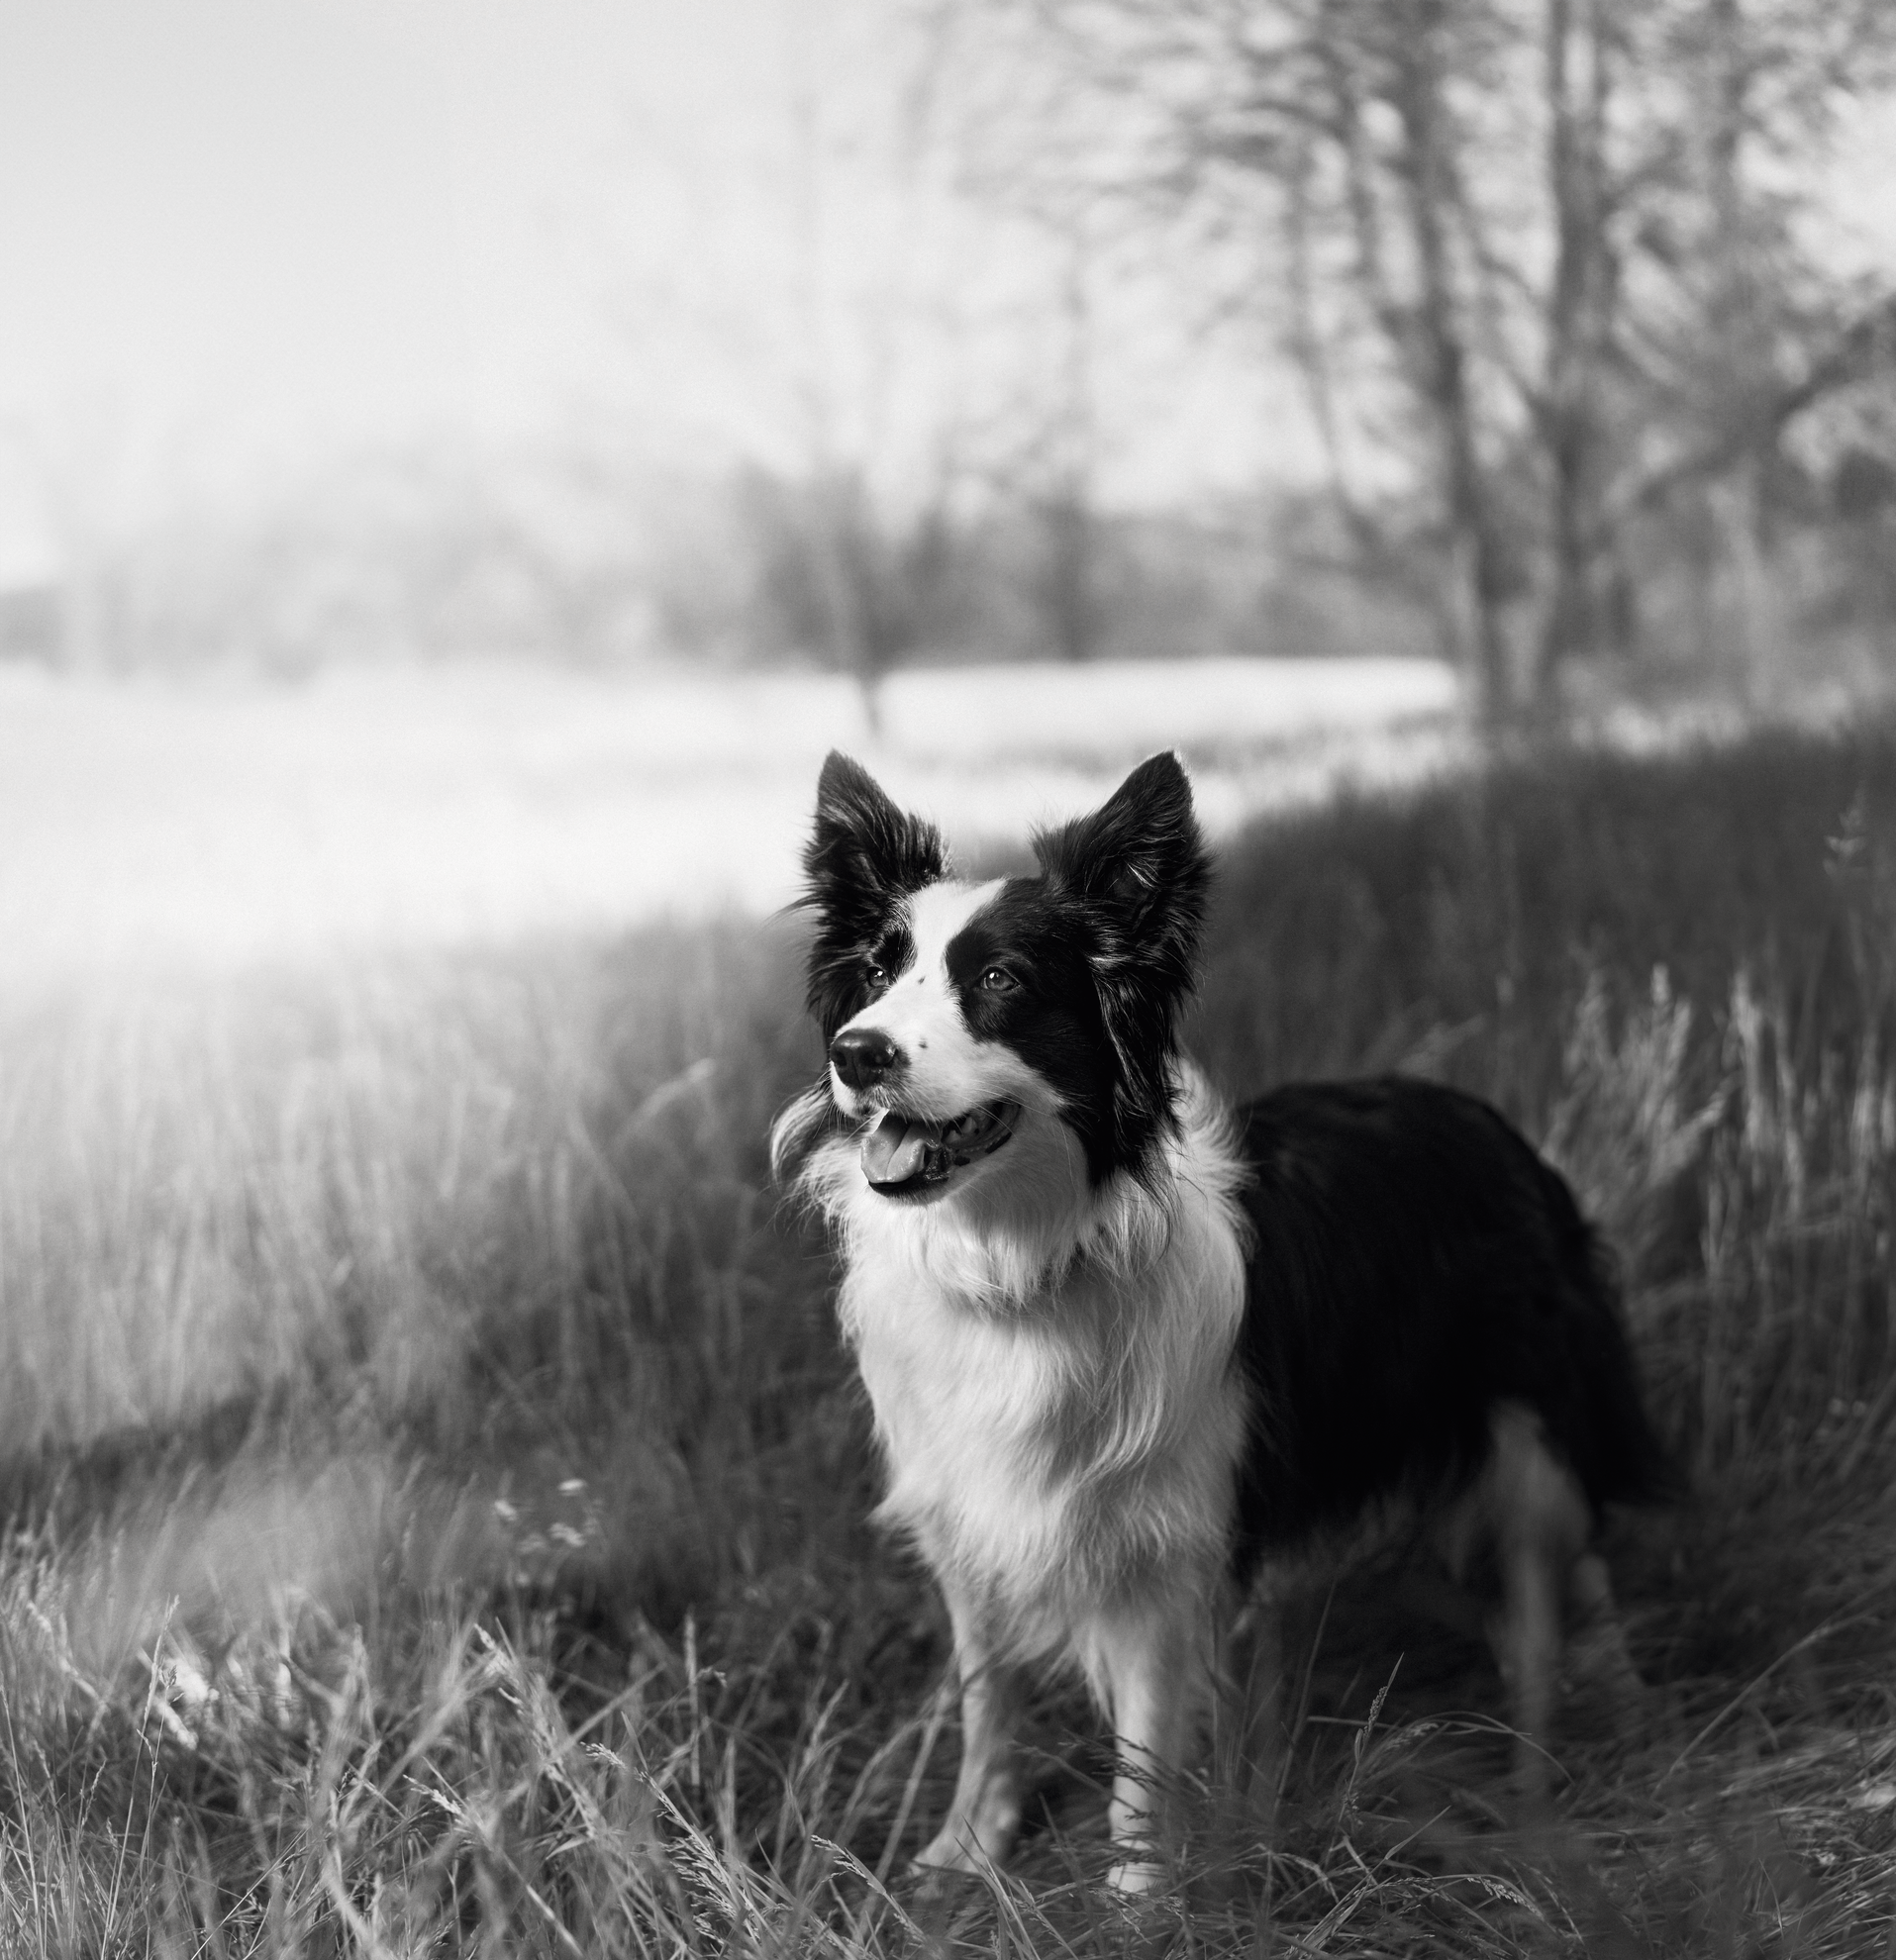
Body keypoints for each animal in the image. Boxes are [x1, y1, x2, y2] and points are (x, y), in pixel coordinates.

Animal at [772, 744, 1662, 1881]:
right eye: (878, 973)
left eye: (1000, 981)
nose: (857, 1052)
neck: (1023, 1260)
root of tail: (1480, 1114)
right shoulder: (971, 1512)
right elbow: (988, 1698)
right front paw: (969, 1847)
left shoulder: (1165, 1540)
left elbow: (1144, 1747)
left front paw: (1139, 1892)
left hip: (1526, 1425)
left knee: (1560, 1583)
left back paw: (1565, 1765)